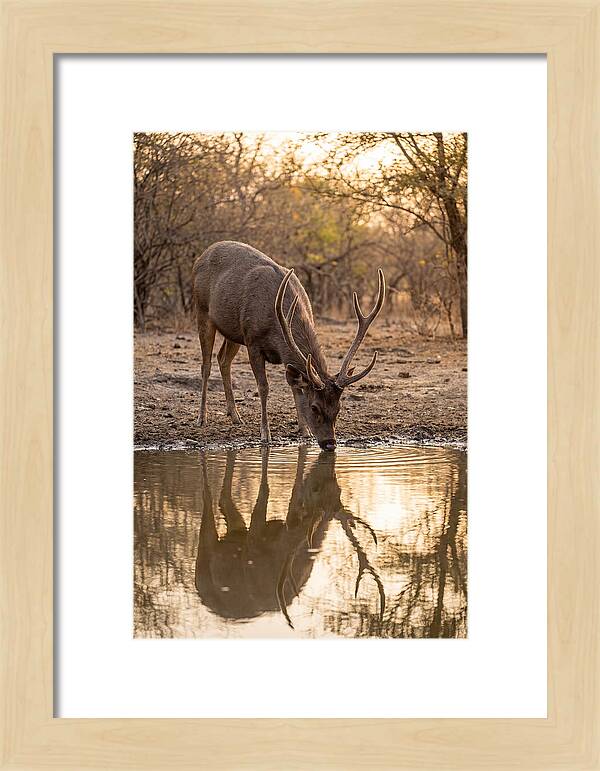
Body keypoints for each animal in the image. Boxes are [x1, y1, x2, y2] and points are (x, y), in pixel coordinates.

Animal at [192, 241, 385, 449]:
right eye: (314, 407)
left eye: (339, 407)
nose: (330, 443)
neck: (276, 327)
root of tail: (202, 256)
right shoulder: (252, 341)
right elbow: (264, 387)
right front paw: (265, 434)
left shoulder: (281, 353)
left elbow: (295, 388)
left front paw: (304, 430)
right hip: (202, 310)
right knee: (206, 365)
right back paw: (202, 418)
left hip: (233, 331)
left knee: (223, 359)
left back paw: (235, 416)